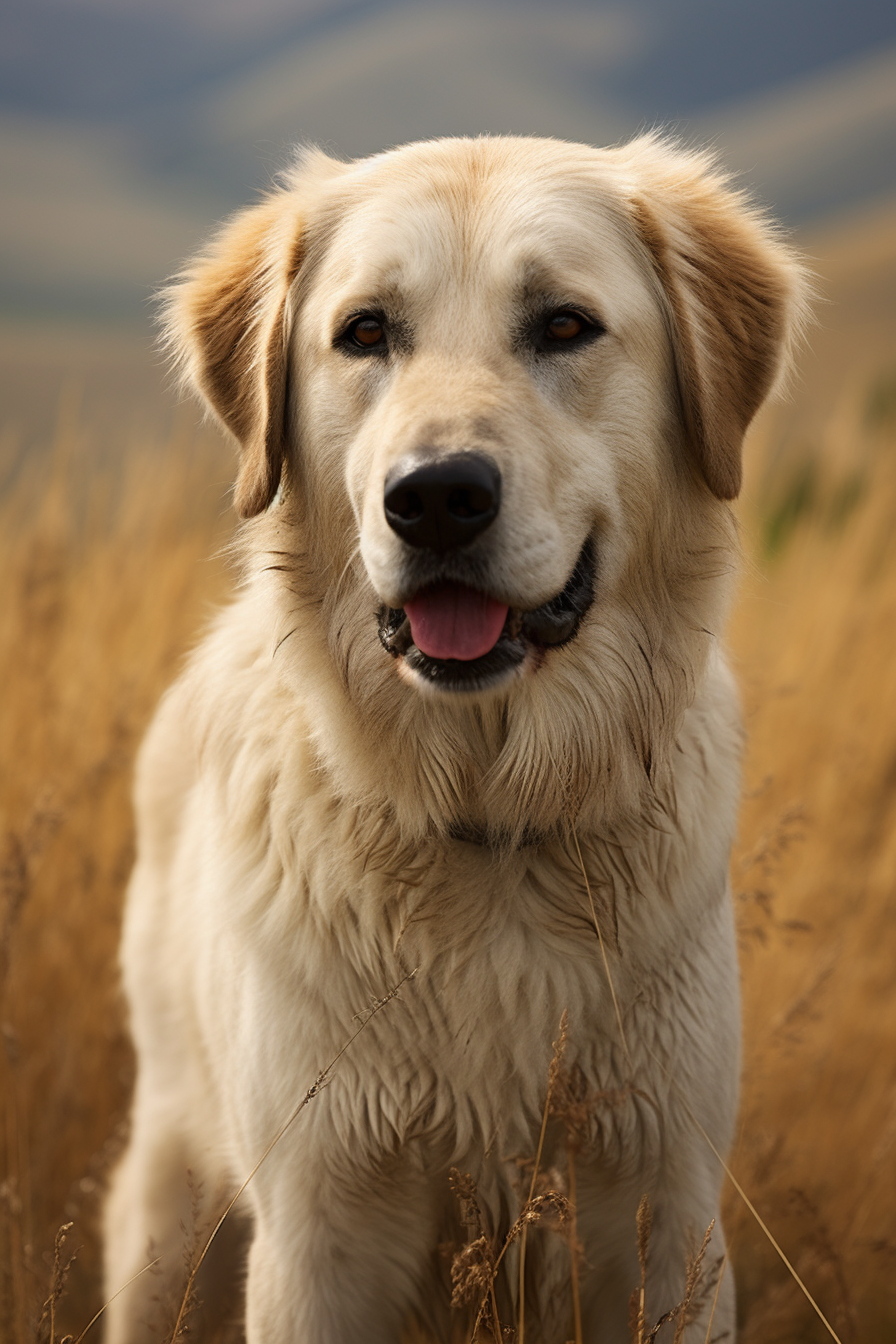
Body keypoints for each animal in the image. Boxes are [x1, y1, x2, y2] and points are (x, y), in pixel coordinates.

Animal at [103, 136, 805, 1344]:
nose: (434, 498)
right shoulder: (321, 1230)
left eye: (564, 325)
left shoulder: (663, 1212)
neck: (491, 823)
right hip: (166, 1214)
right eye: (365, 332)